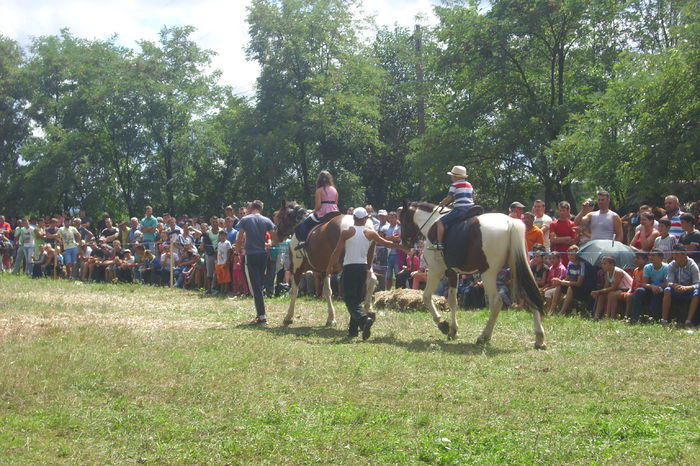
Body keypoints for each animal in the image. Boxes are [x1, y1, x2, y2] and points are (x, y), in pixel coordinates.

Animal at [400, 201, 548, 350]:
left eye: (402, 221)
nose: (403, 243)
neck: (432, 222)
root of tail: (510, 222)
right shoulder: (452, 273)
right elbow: (452, 301)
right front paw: (453, 330)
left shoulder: (436, 271)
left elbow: (426, 296)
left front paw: (442, 324)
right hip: (519, 267)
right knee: (531, 296)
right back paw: (539, 338)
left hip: (488, 274)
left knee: (496, 302)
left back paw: (484, 336)